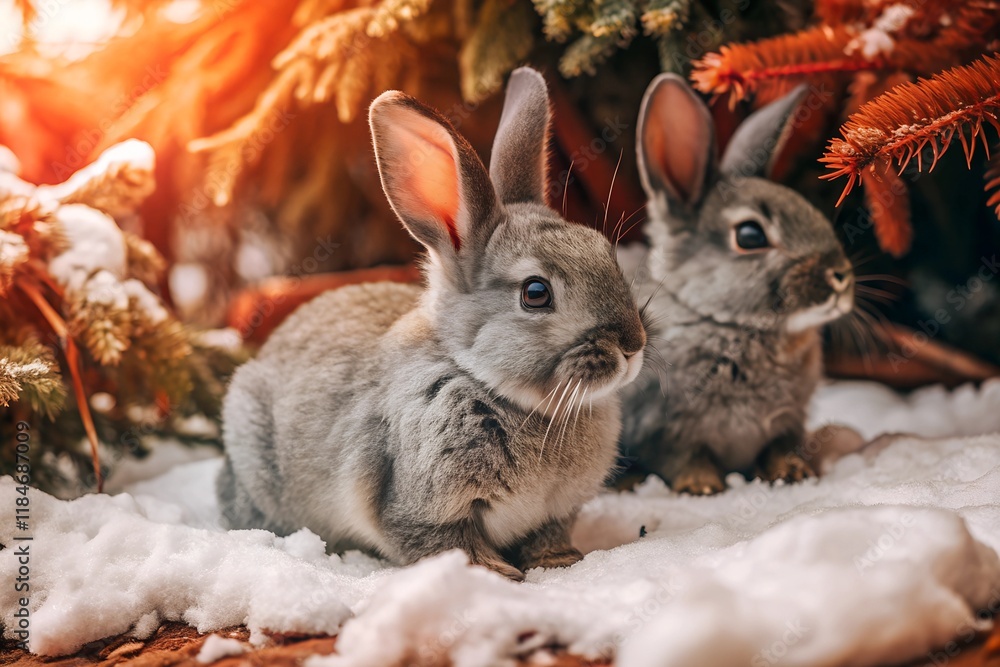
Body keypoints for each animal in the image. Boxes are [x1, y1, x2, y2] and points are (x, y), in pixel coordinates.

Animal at [217, 67, 647, 580]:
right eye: (535, 293)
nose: (632, 345)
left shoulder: (555, 512)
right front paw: (498, 575)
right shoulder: (420, 505)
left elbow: (548, 534)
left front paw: (560, 561)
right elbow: (446, 542)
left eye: (605, 253)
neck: (495, 387)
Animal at [617, 74, 853, 495]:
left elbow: (777, 449)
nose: (840, 276)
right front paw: (701, 487)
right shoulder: (665, 428)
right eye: (750, 236)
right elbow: (685, 457)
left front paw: (792, 472)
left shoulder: (785, 424)